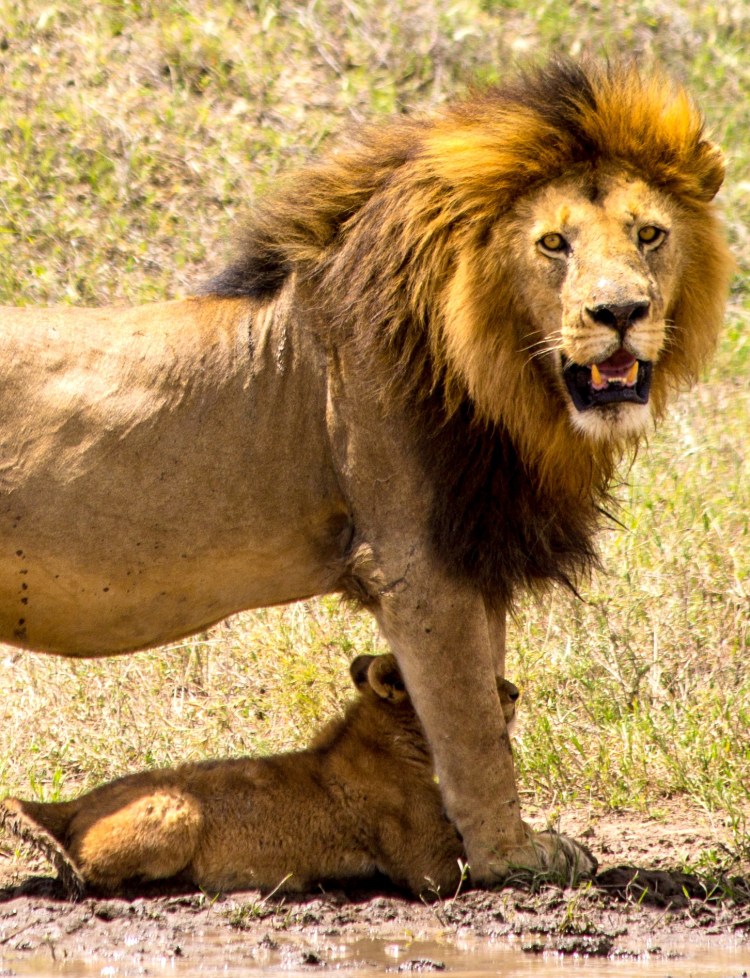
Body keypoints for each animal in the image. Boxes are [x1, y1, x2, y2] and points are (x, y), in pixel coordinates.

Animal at [2, 656, 531, 898]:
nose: (515, 692)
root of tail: (82, 799)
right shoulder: (425, 867)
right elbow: (470, 865)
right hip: (179, 810)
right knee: (86, 870)